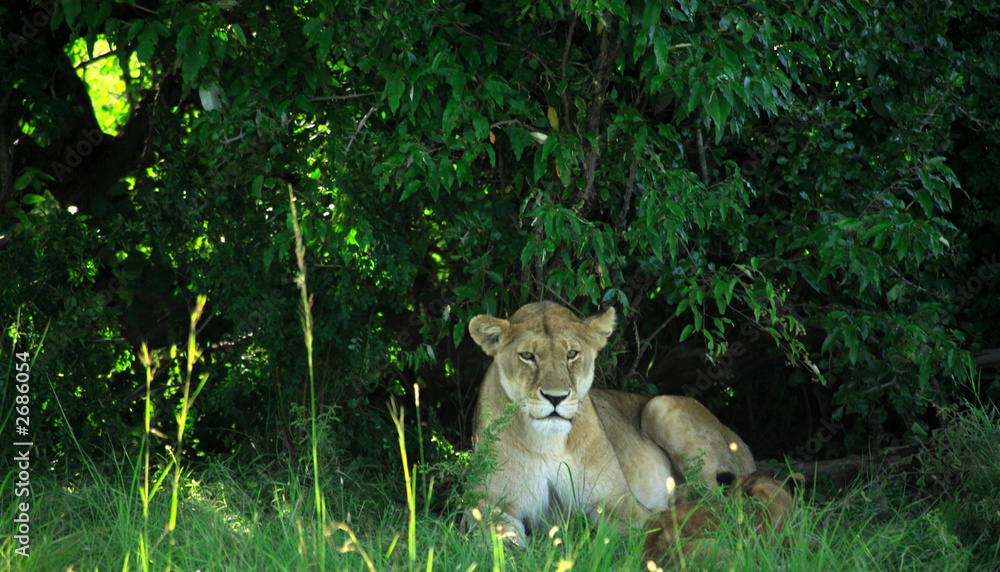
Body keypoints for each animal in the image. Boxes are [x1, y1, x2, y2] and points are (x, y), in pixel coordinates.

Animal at [467, 301, 756, 545]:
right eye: (527, 356)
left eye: (572, 354)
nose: (555, 397)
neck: (548, 442)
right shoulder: (488, 506)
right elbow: (500, 543)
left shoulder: (616, 500)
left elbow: (647, 529)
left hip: (659, 406)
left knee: (721, 499)